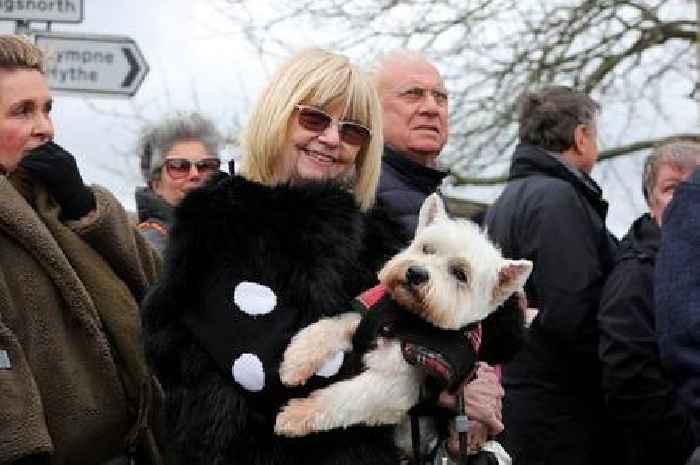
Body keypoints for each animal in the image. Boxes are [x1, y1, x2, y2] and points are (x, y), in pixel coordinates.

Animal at [274, 193, 532, 442]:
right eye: (427, 248)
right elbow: (329, 327)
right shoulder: (369, 319)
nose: (416, 273)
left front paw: (295, 415)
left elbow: (345, 397)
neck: (408, 320)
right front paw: (295, 364)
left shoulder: (401, 384)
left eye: (460, 274)